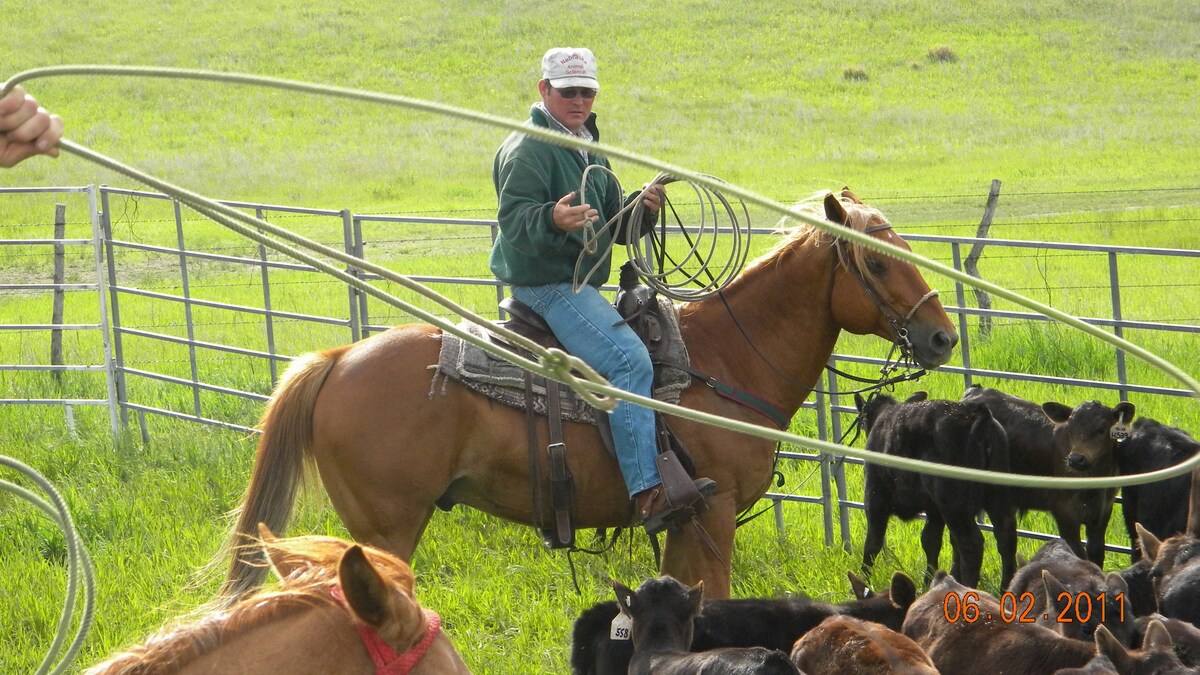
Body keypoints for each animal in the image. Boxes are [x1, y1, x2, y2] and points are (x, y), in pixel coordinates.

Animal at [223, 187, 955, 598]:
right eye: (877, 261)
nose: (943, 336)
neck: (725, 359)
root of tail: (338, 358)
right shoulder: (712, 515)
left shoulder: (685, 523)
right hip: (388, 528)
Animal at [854, 391, 1012, 586]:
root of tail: (980, 415)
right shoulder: (933, 509)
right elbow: (930, 540)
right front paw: (928, 581)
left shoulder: (874, 496)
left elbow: (872, 543)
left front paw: (863, 580)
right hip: (997, 495)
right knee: (1005, 535)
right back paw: (1006, 585)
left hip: (954, 505)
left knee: (971, 544)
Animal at [955, 381, 1132, 564]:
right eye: (1069, 429)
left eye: (1101, 429)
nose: (1076, 459)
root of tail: (975, 391)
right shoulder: (1065, 511)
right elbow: (1078, 553)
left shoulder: (1103, 512)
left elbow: (1096, 552)